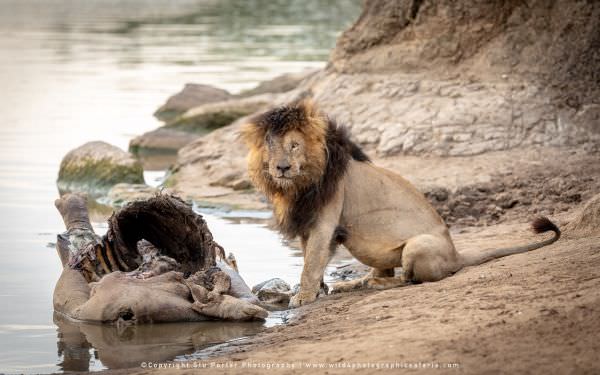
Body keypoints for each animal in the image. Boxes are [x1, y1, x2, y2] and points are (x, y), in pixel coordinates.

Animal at [241, 100, 560, 308]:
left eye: (294, 145)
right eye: (271, 145)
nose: (281, 167)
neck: (299, 184)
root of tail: (456, 255)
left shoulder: (324, 221)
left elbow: (311, 262)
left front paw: (303, 297)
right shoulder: (308, 222)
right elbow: (312, 258)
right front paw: (317, 290)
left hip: (418, 245)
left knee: (408, 280)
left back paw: (373, 285)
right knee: (384, 271)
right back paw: (351, 284)